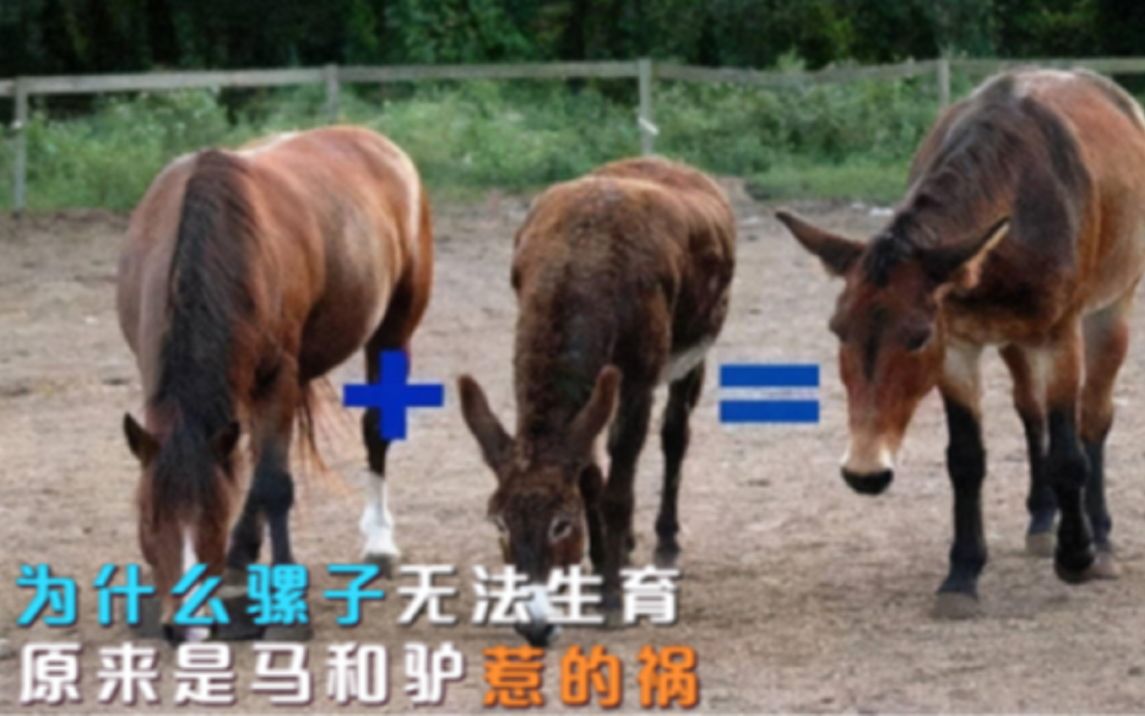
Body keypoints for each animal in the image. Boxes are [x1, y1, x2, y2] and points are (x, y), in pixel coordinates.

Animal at [117, 126, 433, 639]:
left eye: (213, 519)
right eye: (148, 519)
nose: (185, 628)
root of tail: (375, 142)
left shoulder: (276, 378)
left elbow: (274, 483)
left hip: (393, 330)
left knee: (376, 429)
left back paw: (379, 543)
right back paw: (243, 552)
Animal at [458, 157, 736, 645]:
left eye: (562, 523)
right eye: (498, 521)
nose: (535, 627)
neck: (579, 261)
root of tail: (670, 163)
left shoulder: (640, 378)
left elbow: (619, 488)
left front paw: (611, 600)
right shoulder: (580, 403)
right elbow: (590, 473)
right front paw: (600, 565)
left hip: (694, 350)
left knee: (675, 436)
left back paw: (666, 543)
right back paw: (625, 546)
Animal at [776, 69, 1145, 617]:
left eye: (917, 337)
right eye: (837, 330)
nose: (865, 472)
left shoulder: (1059, 335)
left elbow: (1069, 453)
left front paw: (1076, 555)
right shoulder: (958, 348)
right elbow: (966, 460)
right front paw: (962, 575)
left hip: (1109, 312)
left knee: (1093, 418)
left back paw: (1099, 540)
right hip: (1014, 339)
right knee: (1030, 411)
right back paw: (1042, 520)